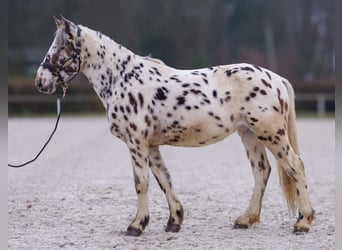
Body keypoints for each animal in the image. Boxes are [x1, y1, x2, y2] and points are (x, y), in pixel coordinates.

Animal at [34, 16, 316, 236]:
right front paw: (174, 221)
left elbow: (142, 182)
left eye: (61, 46)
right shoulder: (150, 145)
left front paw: (136, 225)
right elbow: (164, 179)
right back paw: (246, 219)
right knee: (261, 171)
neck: (123, 79)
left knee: (295, 166)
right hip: (249, 134)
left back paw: (303, 222)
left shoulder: (136, 142)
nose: (40, 81)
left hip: (271, 134)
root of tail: (275, 78)